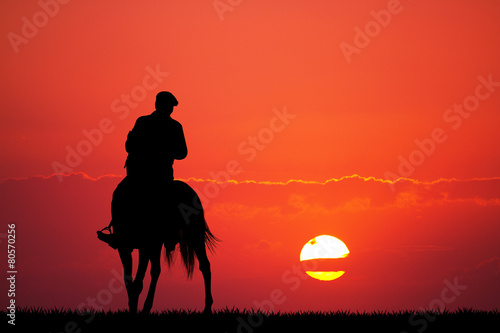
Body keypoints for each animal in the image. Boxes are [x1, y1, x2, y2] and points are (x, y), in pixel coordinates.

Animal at [106, 178, 218, 312]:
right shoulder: (125, 248)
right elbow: (129, 279)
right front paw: (133, 306)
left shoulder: (148, 245)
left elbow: (141, 278)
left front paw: (140, 307)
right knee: (204, 265)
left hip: (195, 235)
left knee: (204, 265)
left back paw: (207, 308)